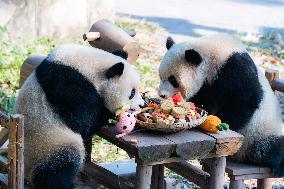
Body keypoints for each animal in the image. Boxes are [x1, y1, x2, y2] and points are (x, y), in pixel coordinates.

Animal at [13, 43, 144, 188]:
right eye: (132, 93)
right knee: (59, 166)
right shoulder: (70, 87)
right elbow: (83, 122)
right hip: (47, 145)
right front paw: (108, 114)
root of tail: (23, 173)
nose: (141, 105)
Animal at [158, 33, 284, 176]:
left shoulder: (236, 69)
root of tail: (241, 156)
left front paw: (220, 122)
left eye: (173, 80)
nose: (162, 95)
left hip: (260, 131)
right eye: (161, 76)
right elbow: (203, 101)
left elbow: (246, 100)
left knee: (271, 147)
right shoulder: (207, 86)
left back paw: (279, 165)